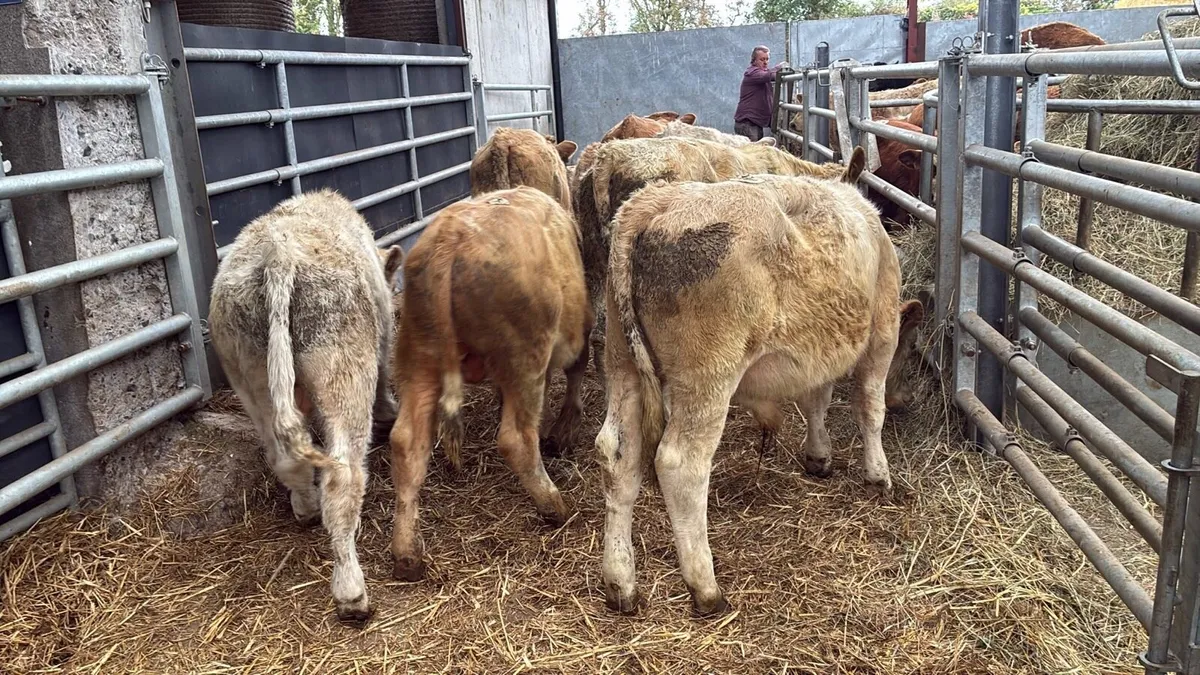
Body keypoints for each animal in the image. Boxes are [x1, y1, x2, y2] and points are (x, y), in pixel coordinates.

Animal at [207, 189, 404, 627]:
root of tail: (277, 252)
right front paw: (389, 411)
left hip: (249, 374)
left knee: (283, 456)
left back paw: (305, 509)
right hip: (343, 369)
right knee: (343, 478)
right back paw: (351, 592)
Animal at [387, 186, 591, 582]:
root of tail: (450, 238)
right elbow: (576, 375)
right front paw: (563, 433)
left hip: (419, 360)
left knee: (407, 443)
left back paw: (407, 555)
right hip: (526, 357)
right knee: (516, 439)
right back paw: (555, 506)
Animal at [595, 163, 913, 618]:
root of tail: (656, 202)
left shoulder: (820, 351)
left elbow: (816, 400)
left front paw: (819, 455)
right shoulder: (882, 332)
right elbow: (870, 408)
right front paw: (878, 475)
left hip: (622, 366)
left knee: (617, 455)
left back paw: (620, 582)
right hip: (707, 379)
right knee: (681, 465)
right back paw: (705, 588)